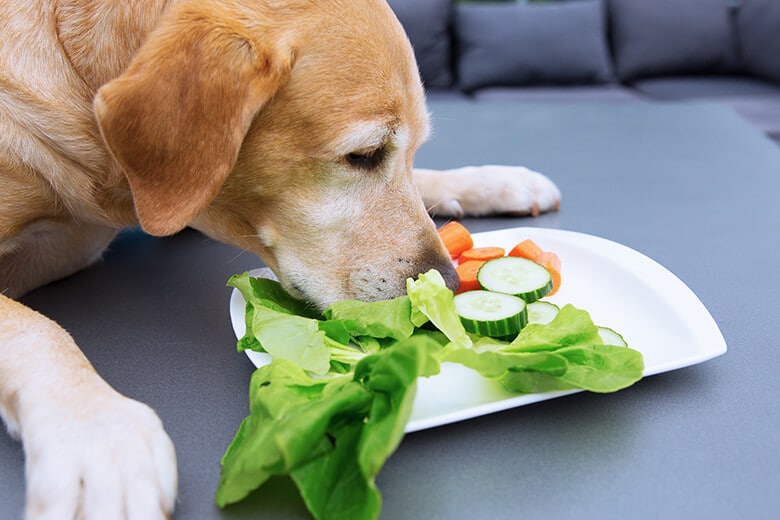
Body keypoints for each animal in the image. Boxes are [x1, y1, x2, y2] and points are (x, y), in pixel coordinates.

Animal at [0, 0, 560, 516]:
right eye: (363, 155)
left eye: (411, 149)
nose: (448, 283)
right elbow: (35, 328)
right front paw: (96, 434)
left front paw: (489, 181)